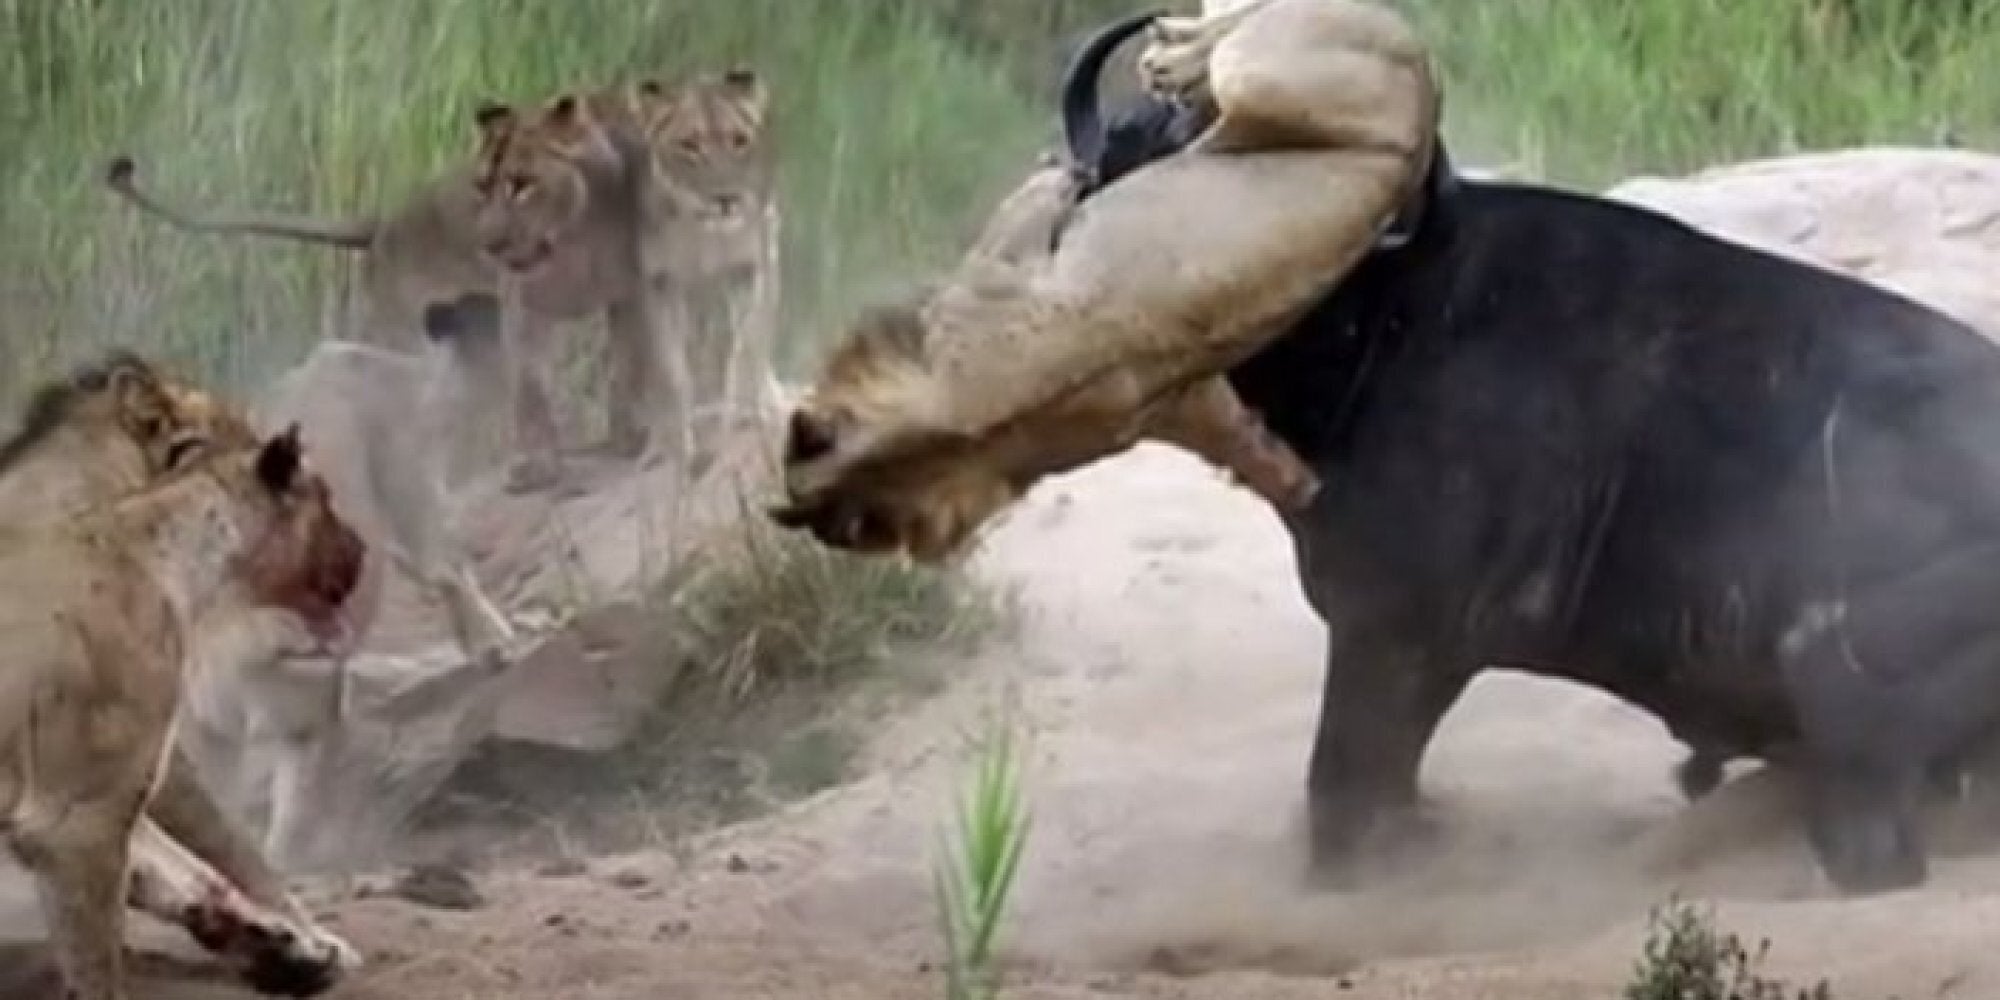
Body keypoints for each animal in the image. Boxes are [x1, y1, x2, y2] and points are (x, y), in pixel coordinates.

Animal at [0, 351, 365, 995]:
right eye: (326, 497)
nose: (363, 549)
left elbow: (177, 867)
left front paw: (286, 945)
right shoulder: (77, 818)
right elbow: (217, 845)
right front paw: (304, 937)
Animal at [770, 0, 1440, 562]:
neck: (954, 430)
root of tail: (1426, 95)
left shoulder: (1007, 257)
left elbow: (1042, 189)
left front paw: (1060, 165)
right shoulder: (1177, 406)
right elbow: (1249, 445)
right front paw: (1299, 485)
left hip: (1265, 71)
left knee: (1247, 26)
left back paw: (1172, 52)